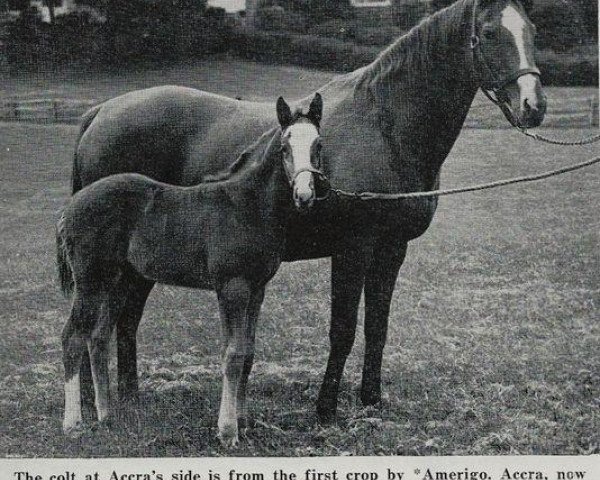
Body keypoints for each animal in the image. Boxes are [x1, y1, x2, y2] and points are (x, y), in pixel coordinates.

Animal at [57, 94, 324, 446]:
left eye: (318, 144)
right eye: (284, 147)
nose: (304, 195)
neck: (246, 205)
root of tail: (71, 206)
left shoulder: (257, 289)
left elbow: (249, 353)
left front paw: (244, 421)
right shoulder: (232, 287)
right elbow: (233, 354)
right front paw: (227, 431)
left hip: (118, 280)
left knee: (98, 337)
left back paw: (106, 416)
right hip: (90, 280)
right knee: (73, 336)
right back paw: (73, 422)